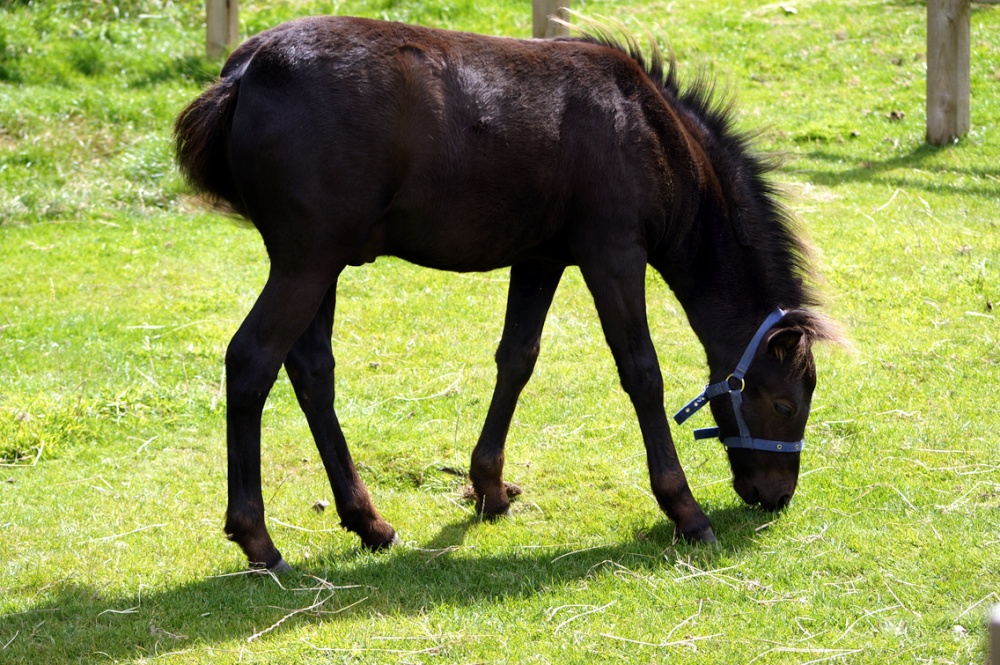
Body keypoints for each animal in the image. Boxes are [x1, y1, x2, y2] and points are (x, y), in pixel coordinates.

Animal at [175, 15, 841, 571]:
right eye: (786, 405)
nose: (777, 495)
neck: (646, 128)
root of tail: (243, 72)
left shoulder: (541, 259)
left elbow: (517, 359)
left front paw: (490, 489)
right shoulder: (613, 256)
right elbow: (642, 373)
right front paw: (685, 511)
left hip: (322, 266)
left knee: (313, 371)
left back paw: (368, 523)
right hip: (306, 262)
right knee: (252, 361)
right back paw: (259, 541)